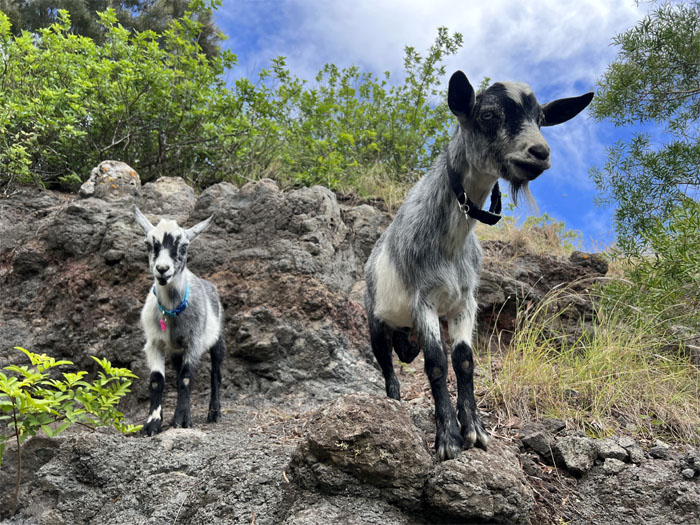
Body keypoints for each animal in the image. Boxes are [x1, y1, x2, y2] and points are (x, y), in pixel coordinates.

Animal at [134, 207, 224, 436]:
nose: (162, 269)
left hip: (219, 338)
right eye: (149, 244)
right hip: (176, 351)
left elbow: (186, 378)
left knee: (216, 373)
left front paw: (182, 420)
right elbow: (157, 381)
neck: (172, 312)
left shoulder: (194, 342)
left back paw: (214, 413)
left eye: (183, 246)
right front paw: (152, 423)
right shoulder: (154, 343)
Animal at [364, 70, 592, 458]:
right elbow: (437, 363)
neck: (451, 242)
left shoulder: (464, 302)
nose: (539, 153)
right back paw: (392, 403)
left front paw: (475, 430)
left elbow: (464, 361)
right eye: (487, 114)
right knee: (387, 366)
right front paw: (447, 439)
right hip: (375, 319)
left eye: (540, 118)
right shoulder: (423, 299)